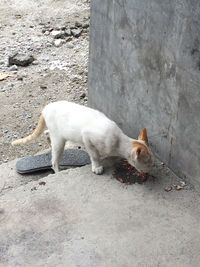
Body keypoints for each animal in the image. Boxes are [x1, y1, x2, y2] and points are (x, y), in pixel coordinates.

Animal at [11, 101, 152, 175]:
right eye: (147, 163)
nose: (149, 171)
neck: (118, 141)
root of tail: (46, 107)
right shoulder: (87, 137)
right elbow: (94, 155)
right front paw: (97, 167)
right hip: (59, 140)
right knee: (54, 161)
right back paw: (58, 172)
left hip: (56, 134)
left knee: (46, 133)